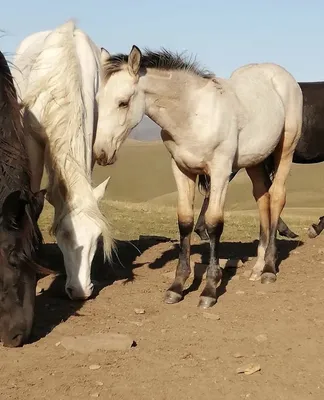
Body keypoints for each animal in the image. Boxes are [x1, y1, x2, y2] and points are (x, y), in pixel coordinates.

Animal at [92, 47, 302, 310]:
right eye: (97, 101)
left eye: (123, 102)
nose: (101, 153)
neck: (193, 115)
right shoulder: (182, 170)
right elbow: (185, 221)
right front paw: (177, 287)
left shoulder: (221, 171)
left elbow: (213, 223)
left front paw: (209, 290)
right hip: (254, 161)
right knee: (262, 199)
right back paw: (257, 266)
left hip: (286, 150)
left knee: (276, 197)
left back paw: (269, 269)